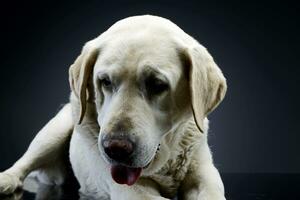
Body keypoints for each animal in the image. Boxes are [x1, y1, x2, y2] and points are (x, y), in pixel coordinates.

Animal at [0, 16, 225, 200]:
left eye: (157, 84)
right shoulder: (134, 191)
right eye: (105, 81)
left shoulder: (205, 175)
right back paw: (6, 180)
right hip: (54, 130)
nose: (116, 148)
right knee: (24, 162)